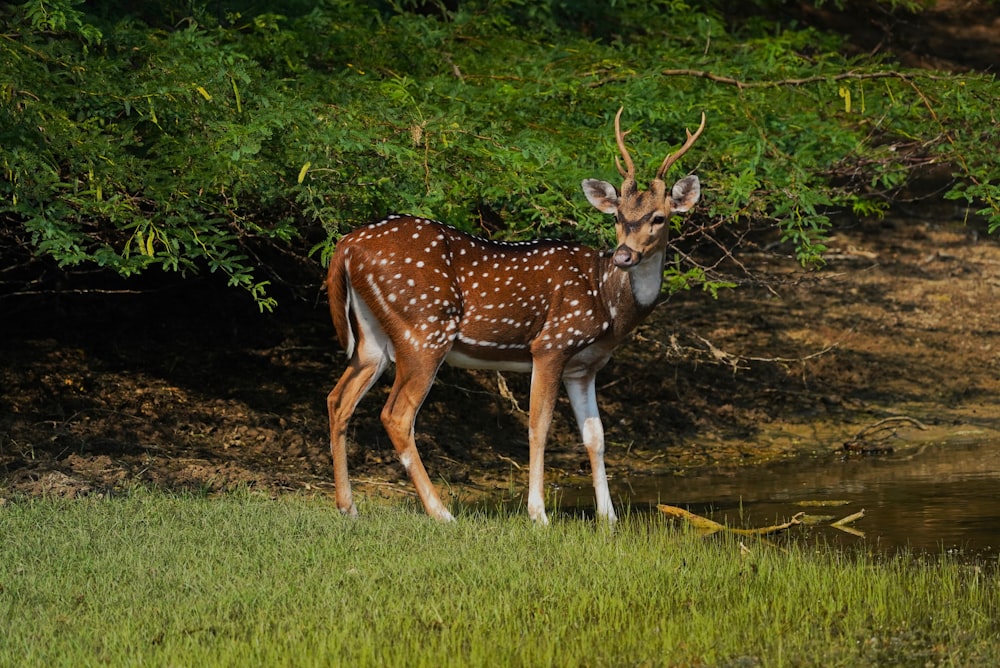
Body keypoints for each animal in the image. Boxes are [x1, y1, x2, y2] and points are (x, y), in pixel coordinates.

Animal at [326, 107, 704, 524]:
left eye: (658, 217)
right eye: (618, 216)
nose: (624, 255)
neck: (607, 301)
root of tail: (345, 247)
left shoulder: (584, 366)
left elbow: (596, 436)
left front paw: (609, 518)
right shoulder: (552, 344)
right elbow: (539, 426)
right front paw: (538, 514)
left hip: (372, 337)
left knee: (337, 400)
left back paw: (348, 507)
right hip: (424, 328)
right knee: (396, 415)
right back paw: (441, 513)